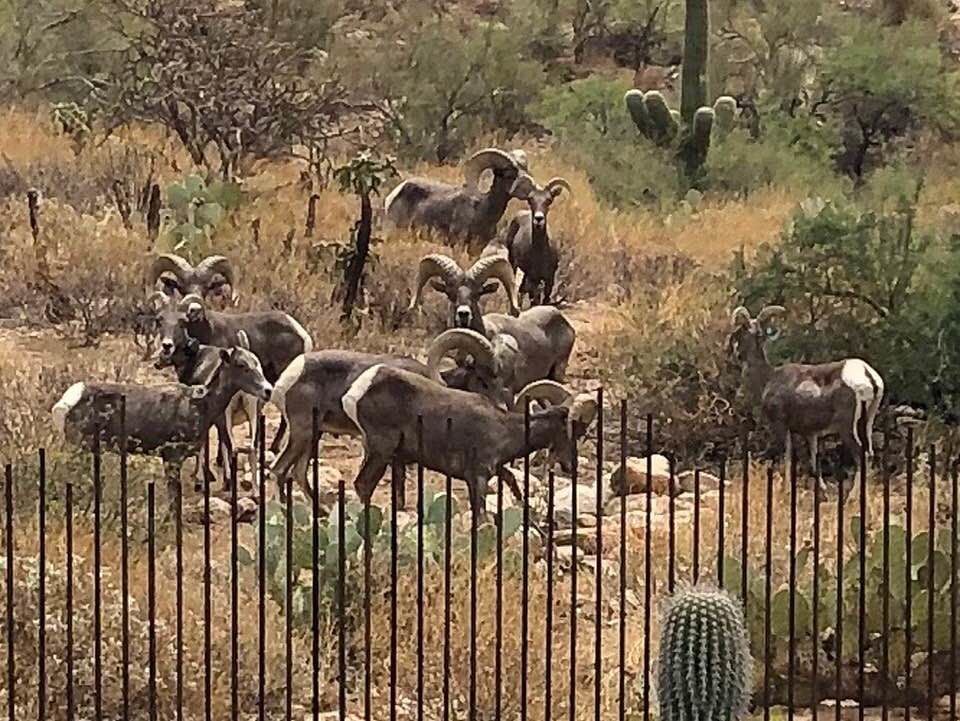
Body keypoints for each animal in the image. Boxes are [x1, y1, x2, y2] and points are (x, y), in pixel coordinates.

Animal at [342, 368, 596, 516]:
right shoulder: (477, 477)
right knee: (363, 485)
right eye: (576, 431)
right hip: (380, 452)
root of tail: (356, 392)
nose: (572, 466)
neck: (504, 430)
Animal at [382, 147, 532, 250]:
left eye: (525, 169)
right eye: (509, 174)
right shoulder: (458, 246)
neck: (481, 211)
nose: (531, 187)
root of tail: (394, 193)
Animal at [728, 304, 884, 484]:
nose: (737, 354)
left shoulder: (781, 426)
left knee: (861, 455)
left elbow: (787, 458)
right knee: (869, 454)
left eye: (741, 332)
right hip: (867, 423)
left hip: (847, 427)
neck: (769, 378)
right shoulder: (811, 434)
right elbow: (813, 464)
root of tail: (868, 375)